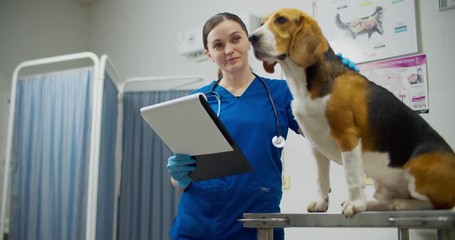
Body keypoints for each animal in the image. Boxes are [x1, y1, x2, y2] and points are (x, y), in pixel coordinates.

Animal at [249, 8, 455, 217]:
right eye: (261, 23)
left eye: (281, 20)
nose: (252, 38)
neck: (303, 84)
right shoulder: (315, 145)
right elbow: (321, 178)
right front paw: (321, 202)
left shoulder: (347, 136)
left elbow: (352, 176)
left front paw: (355, 204)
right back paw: (375, 204)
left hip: (420, 169)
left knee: (441, 204)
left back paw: (399, 204)